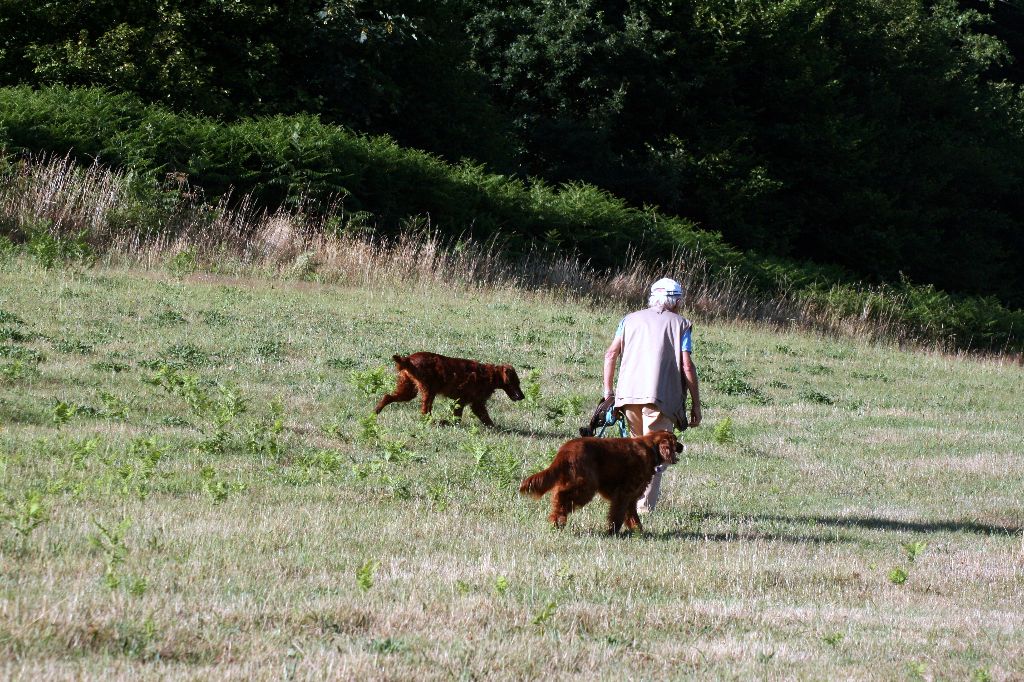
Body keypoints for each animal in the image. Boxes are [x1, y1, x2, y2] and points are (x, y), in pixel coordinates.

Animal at [372, 350, 524, 425]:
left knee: (387, 396)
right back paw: (431, 422)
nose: (522, 396)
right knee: (425, 410)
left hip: (408, 390)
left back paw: (376, 411)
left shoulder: (475, 403)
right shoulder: (463, 400)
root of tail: (408, 359)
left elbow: (485, 418)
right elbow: (458, 417)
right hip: (429, 390)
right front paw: (448, 422)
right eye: (516, 382)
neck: (489, 374)